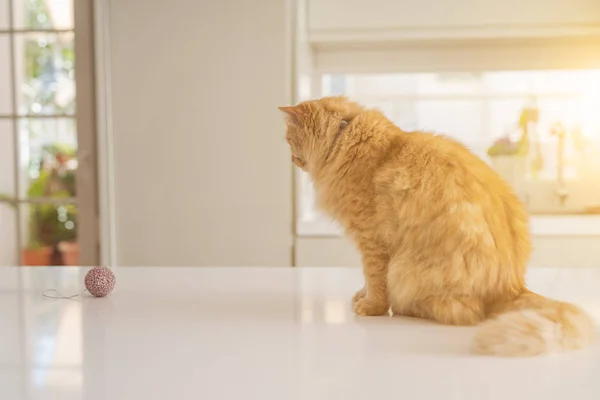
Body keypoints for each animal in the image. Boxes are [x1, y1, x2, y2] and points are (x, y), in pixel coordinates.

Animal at [282, 97, 596, 356]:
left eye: (288, 140)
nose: (292, 160)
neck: (345, 137)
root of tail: (513, 286)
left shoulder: (371, 239)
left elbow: (375, 279)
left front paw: (370, 306)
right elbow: (368, 279)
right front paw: (362, 295)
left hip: (409, 270)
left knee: (462, 311)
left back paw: (407, 308)